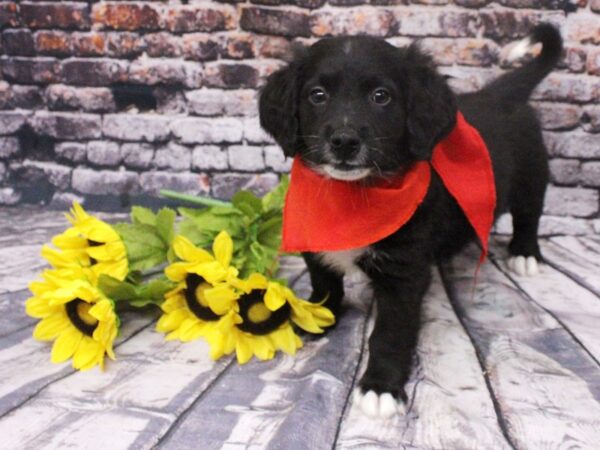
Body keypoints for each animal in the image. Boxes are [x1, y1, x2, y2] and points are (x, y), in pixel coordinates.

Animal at [258, 24, 564, 418]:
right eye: (317, 95)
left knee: (529, 216)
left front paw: (380, 387)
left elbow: (390, 334)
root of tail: (497, 93)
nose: (344, 141)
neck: (352, 198)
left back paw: (525, 254)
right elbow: (325, 285)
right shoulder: (316, 245)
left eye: (381, 96)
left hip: (532, 177)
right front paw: (315, 319)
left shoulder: (403, 274)